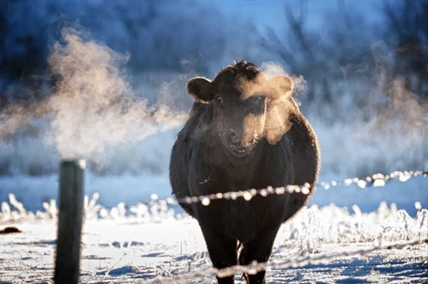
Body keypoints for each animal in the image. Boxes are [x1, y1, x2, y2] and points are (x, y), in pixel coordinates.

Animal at [169, 61, 320, 282]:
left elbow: (255, 264)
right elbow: (224, 264)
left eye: (260, 98)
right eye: (219, 98)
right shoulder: (210, 221)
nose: (240, 134)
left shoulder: (269, 222)